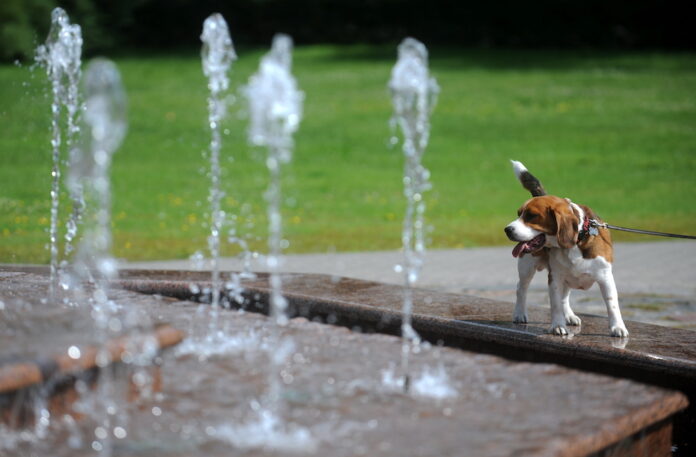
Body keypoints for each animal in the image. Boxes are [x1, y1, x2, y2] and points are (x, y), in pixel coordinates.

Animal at [502, 159, 628, 334]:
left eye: (531, 216)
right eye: (519, 214)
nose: (507, 230)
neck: (576, 241)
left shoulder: (605, 277)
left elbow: (612, 304)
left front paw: (618, 327)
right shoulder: (555, 278)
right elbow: (555, 305)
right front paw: (557, 326)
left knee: (564, 297)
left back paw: (569, 315)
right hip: (527, 267)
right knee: (521, 288)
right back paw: (519, 313)